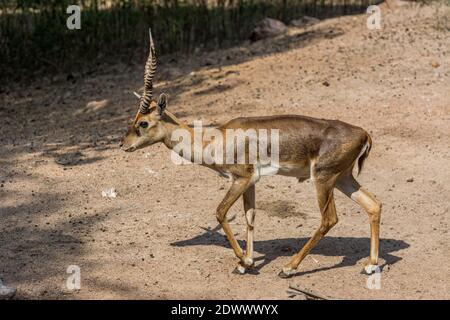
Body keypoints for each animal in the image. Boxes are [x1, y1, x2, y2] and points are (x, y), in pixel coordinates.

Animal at [120, 31, 384, 278]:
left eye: (143, 123)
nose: (123, 144)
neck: (214, 139)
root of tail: (363, 134)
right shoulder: (251, 182)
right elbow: (250, 217)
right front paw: (245, 263)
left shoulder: (241, 178)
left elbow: (220, 212)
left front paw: (245, 261)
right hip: (343, 178)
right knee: (374, 205)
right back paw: (370, 265)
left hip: (323, 178)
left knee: (329, 219)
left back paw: (288, 268)